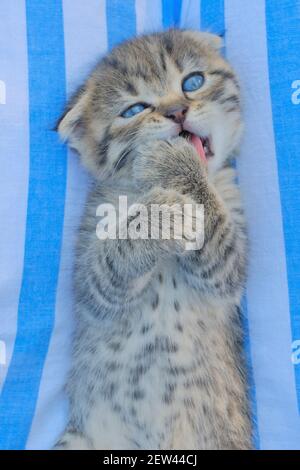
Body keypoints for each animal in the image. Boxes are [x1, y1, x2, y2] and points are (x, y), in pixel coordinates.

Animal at [53, 28, 251, 448]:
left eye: (193, 82)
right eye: (134, 110)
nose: (177, 113)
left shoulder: (230, 267)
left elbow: (221, 248)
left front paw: (178, 165)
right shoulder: (93, 285)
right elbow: (109, 267)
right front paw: (158, 217)